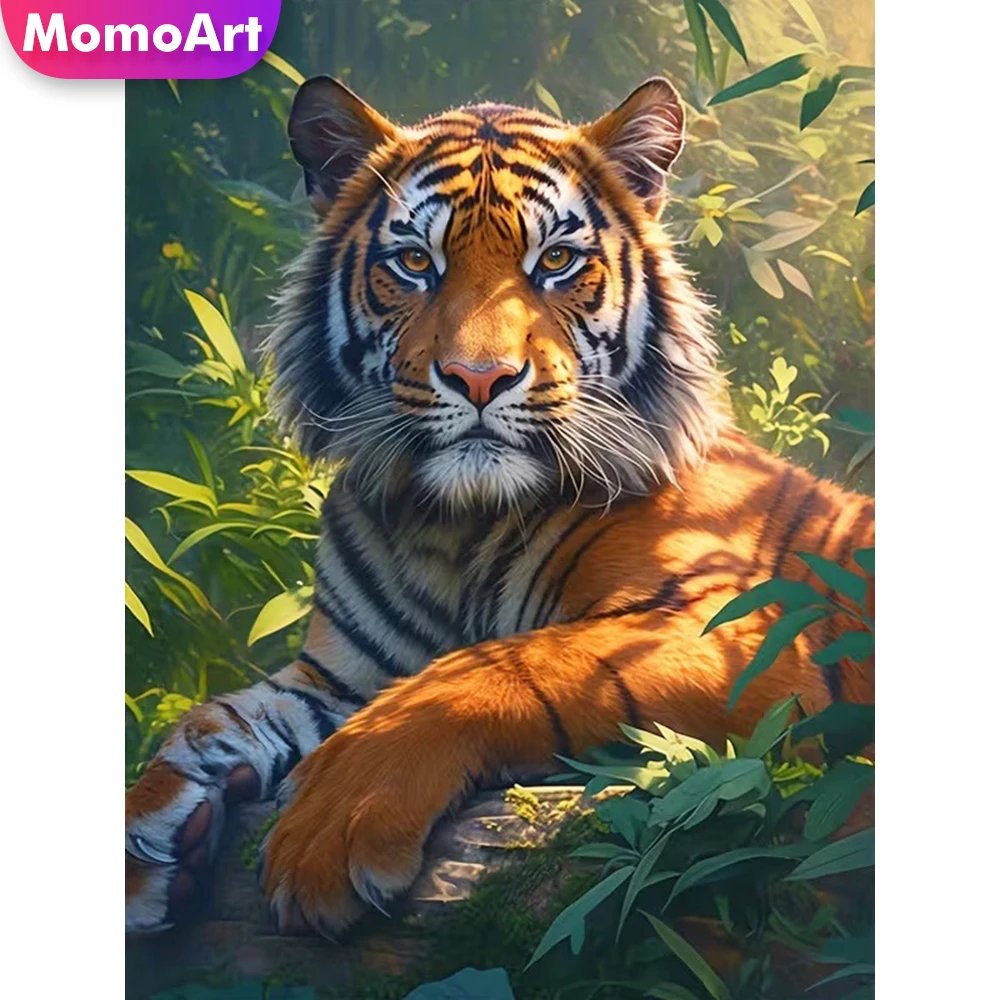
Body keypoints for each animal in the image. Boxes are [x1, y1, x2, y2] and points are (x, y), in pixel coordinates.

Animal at [124, 75, 874, 935]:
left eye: (556, 261)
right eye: (416, 262)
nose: (479, 377)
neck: (454, 526)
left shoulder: (738, 627)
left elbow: (504, 662)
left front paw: (332, 823)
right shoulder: (338, 677)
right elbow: (213, 719)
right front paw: (148, 842)